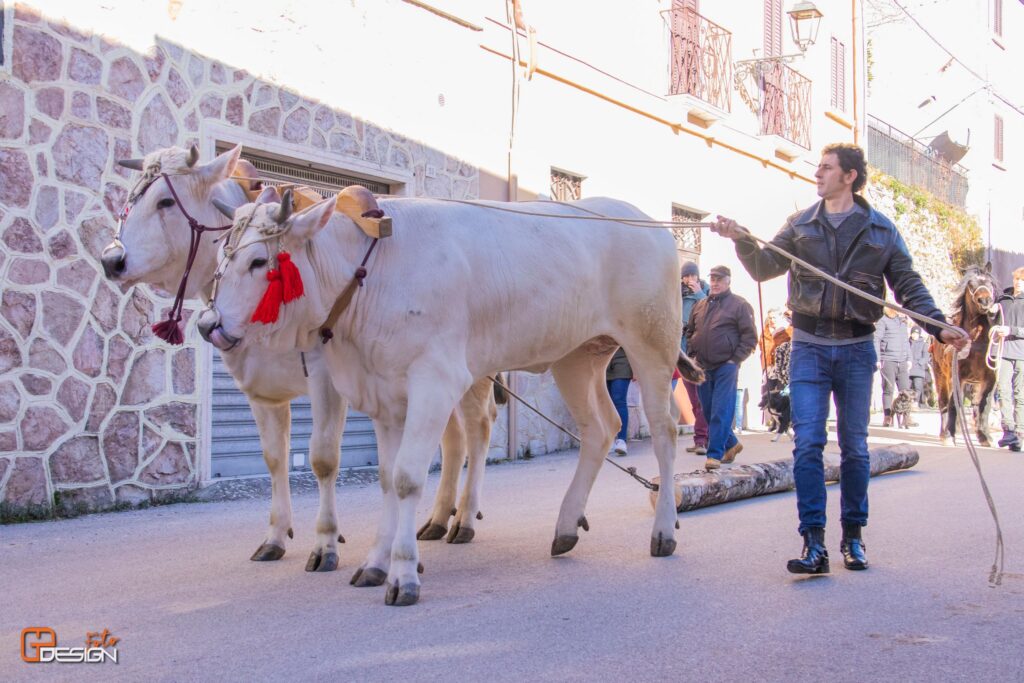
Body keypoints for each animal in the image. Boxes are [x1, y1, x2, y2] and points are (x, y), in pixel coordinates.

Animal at [929, 264, 999, 448]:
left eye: (989, 283)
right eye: (971, 285)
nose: (985, 301)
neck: (975, 342)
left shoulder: (990, 378)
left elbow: (984, 404)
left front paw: (985, 436)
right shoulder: (957, 376)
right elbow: (954, 403)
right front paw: (950, 435)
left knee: (974, 403)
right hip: (940, 375)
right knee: (943, 402)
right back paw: (944, 433)